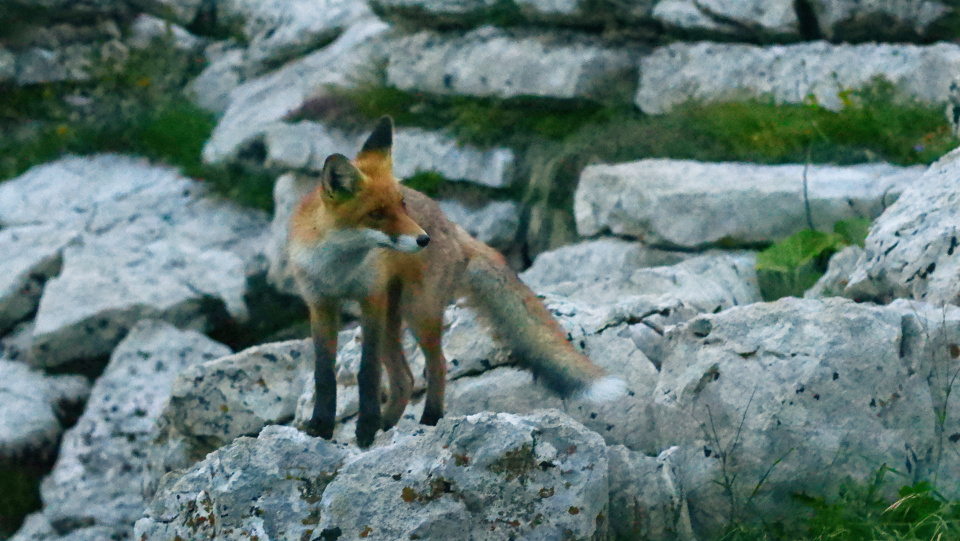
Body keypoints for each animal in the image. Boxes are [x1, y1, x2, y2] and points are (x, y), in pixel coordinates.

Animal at [288, 116, 625, 447]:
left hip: (418, 310)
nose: (423, 239)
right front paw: (321, 426)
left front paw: (366, 428)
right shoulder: (320, 303)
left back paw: (429, 419)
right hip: (395, 317)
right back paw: (388, 424)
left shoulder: (370, 298)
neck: (339, 268)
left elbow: (367, 372)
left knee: (437, 366)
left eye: (401, 204)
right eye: (377, 213)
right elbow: (323, 374)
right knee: (404, 379)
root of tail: (450, 225)